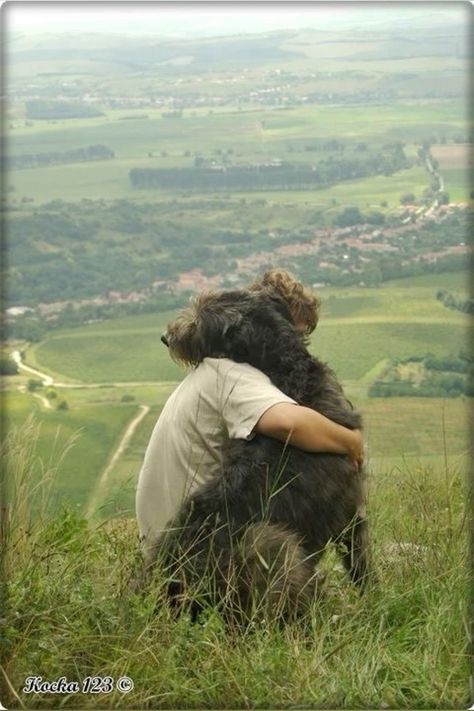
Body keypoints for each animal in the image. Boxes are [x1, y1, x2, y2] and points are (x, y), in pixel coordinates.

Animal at [154, 290, 368, 624]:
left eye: (199, 320)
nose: (166, 337)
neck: (291, 375)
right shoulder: (349, 511)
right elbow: (362, 567)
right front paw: (381, 605)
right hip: (268, 547)